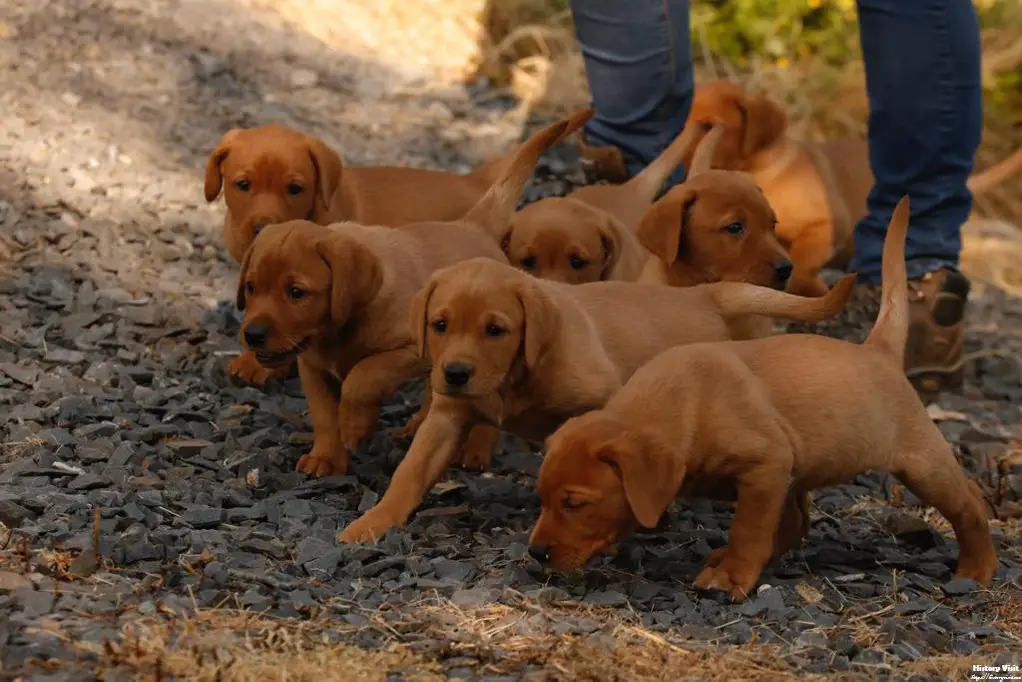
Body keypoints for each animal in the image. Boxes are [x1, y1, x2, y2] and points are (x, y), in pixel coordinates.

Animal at [231, 109, 592, 480]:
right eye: (251, 287)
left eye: (296, 292)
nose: (252, 334)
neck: (339, 329)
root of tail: (472, 226)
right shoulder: (312, 367)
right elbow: (323, 414)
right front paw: (327, 457)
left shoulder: (408, 352)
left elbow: (362, 377)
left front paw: (355, 429)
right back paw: (416, 426)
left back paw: (473, 448)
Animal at [339, 255, 858, 543]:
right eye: (440, 325)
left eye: (496, 330)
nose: (455, 373)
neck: (514, 376)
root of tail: (704, 296)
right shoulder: (446, 417)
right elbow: (410, 472)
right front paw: (375, 521)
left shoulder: (599, 397)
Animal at [527, 194, 997, 601]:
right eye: (543, 498)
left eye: (574, 503)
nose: (535, 553)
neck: (686, 404)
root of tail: (877, 350)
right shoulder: (776, 474)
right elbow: (773, 525)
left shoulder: (765, 467)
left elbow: (749, 531)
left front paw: (731, 578)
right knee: (797, 522)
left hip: (922, 464)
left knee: (970, 504)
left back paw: (978, 568)